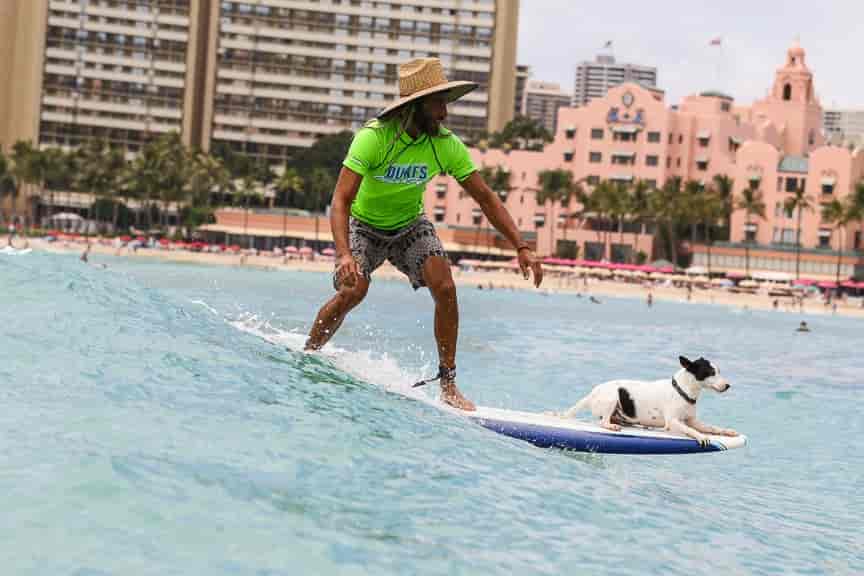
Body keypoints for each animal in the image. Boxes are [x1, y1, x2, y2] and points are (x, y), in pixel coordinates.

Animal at [556, 356, 740, 446]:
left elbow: (712, 427)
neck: (682, 390)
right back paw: (611, 425)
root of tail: (591, 394)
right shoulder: (673, 421)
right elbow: (691, 430)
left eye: (718, 371)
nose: (728, 385)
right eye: (710, 373)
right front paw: (701, 437)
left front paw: (727, 431)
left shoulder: (693, 421)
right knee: (603, 422)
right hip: (612, 397)